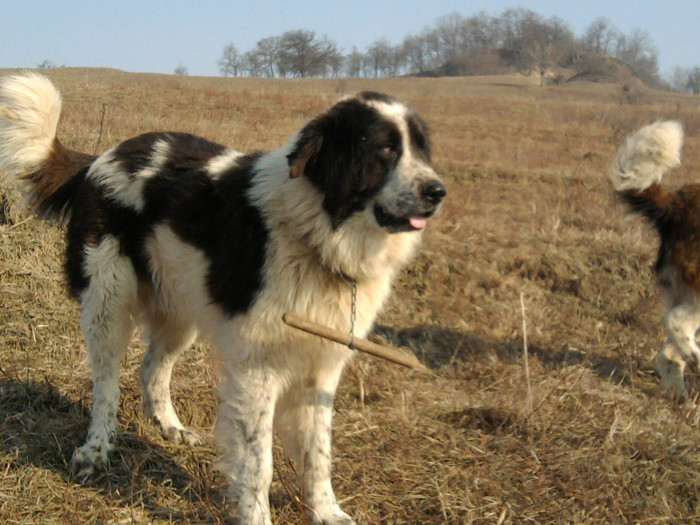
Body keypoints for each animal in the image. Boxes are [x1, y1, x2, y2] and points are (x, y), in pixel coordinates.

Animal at [0, 74, 446, 524]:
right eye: (384, 149)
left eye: (423, 149)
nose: (437, 191)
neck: (315, 233)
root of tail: (102, 158)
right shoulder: (257, 369)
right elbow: (258, 463)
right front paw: (257, 516)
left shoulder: (319, 366)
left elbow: (318, 453)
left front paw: (325, 511)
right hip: (107, 300)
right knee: (106, 384)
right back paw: (96, 450)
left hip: (180, 306)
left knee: (151, 367)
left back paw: (169, 426)